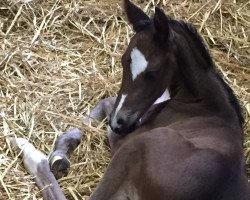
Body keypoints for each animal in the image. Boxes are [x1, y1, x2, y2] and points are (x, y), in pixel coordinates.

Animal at [89, 0, 249, 200]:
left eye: (153, 72)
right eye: (124, 60)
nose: (118, 122)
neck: (204, 105)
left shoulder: (125, 139)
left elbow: (109, 108)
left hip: (135, 148)